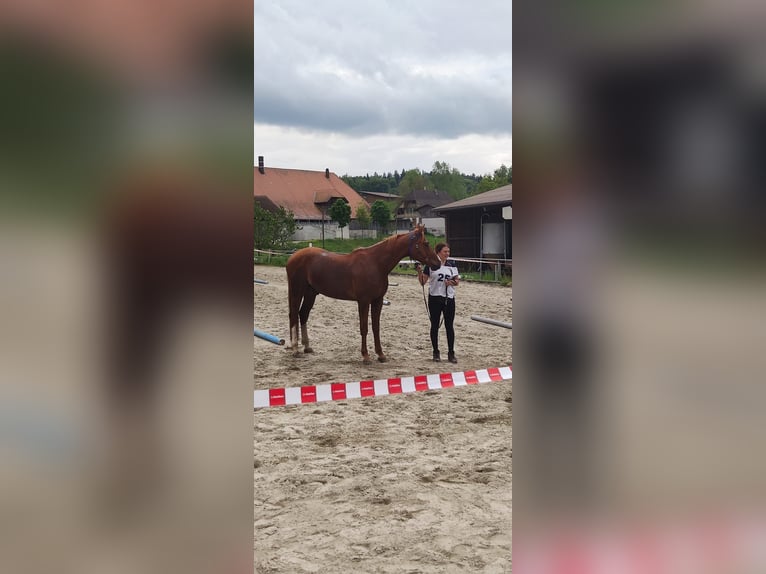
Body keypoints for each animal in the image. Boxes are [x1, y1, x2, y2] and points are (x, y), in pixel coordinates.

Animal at [285, 224, 442, 363]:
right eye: (426, 243)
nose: (438, 263)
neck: (376, 263)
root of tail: (292, 257)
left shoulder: (378, 301)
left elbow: (376, 327)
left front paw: (381, 354)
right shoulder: (364, 301)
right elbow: (364, 327)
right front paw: (365, 356)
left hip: (311, 293)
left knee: (303, 314)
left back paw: (307, 347)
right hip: (297, 291)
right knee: (294, 315)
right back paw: (295, 349)